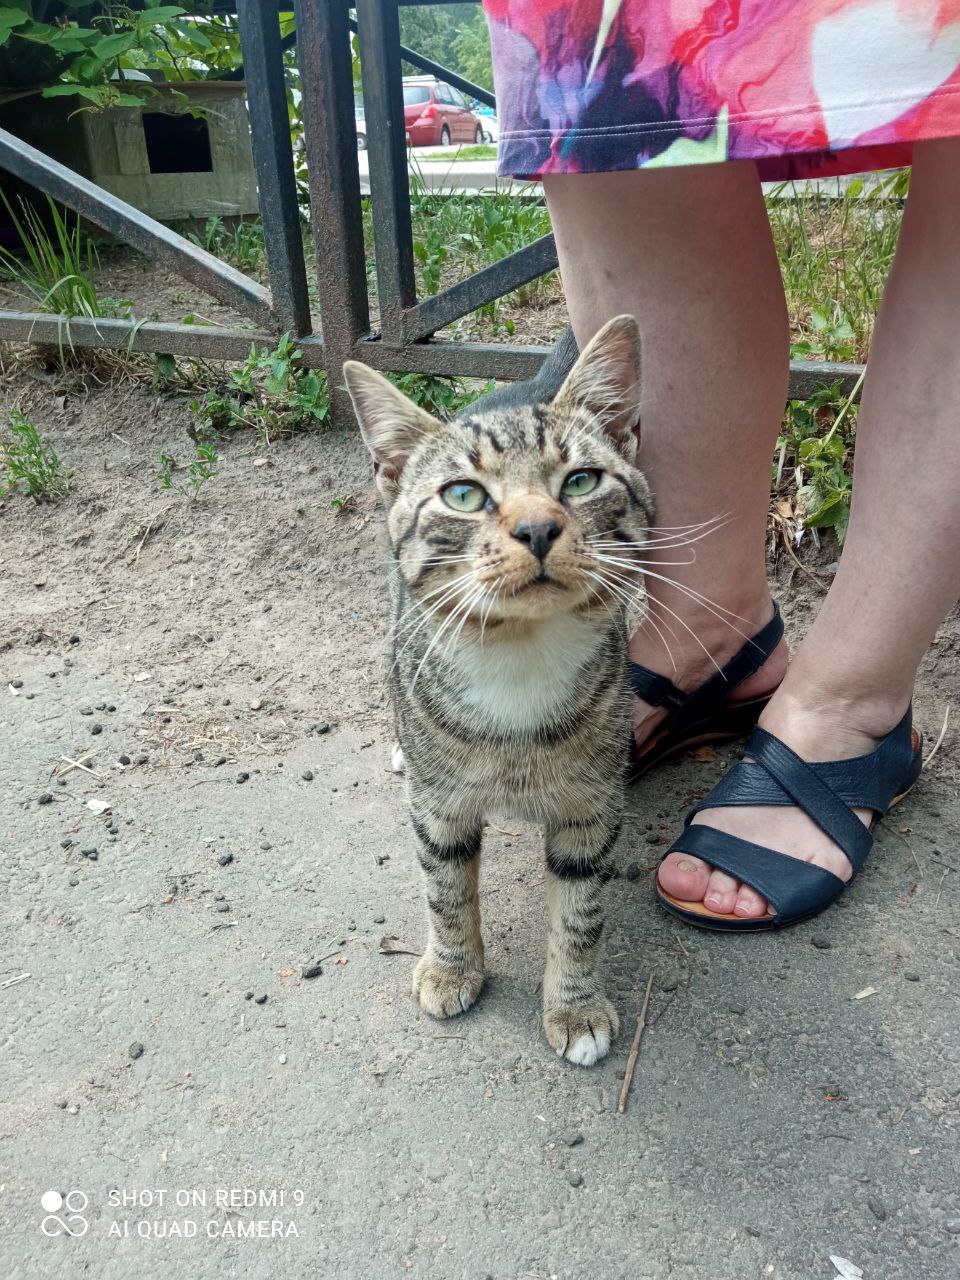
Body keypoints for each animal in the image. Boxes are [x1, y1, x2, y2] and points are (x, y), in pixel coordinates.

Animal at [343, 320, 650, 1070]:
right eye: (463, 494)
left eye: (581, 480)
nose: (537, 528)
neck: (519, 659)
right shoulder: (440, 808)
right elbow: (445, 888)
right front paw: (452, 969)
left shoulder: (591, 810)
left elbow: (580, 914)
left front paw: (575, 1008)